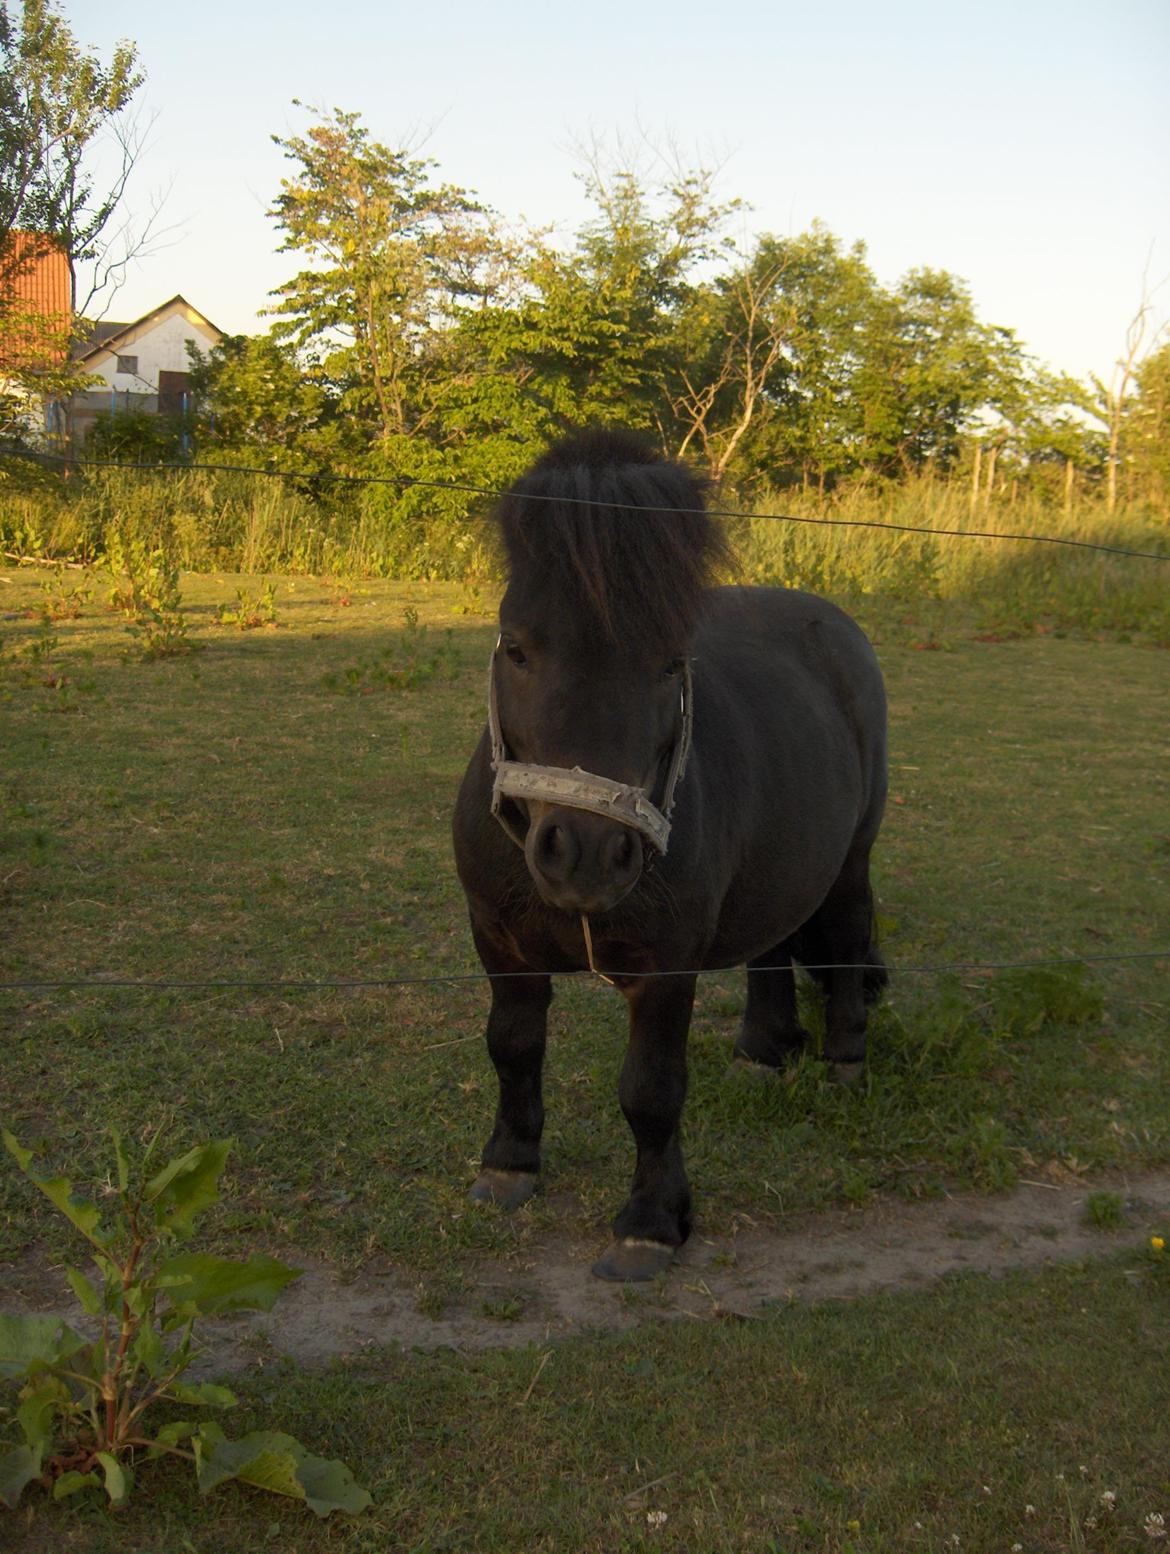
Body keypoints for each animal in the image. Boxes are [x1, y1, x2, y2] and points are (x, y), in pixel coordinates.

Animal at [450, 432, 882, 1280]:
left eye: (671, 661)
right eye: (516, 647)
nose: (586, 854)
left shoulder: (665, 968)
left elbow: (650, 1092)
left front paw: (651, 1223)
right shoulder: (499, 943)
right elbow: (511, 1047)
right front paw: (509, 1164)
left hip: (851, 856)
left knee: (847, 935)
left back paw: (844, 1058)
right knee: (775, 940)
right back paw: (762, 1049)